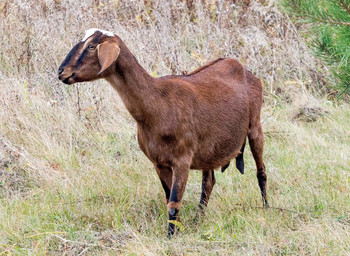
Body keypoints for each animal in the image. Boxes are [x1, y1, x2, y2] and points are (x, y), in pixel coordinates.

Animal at [58, 28, 268, 238]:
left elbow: (174, 202)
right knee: (208, 182)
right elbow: (169, 198)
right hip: (209, 150)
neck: (158, 104)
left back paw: (266, 207)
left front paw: (170, 236)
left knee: (261, 171)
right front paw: (177, 230)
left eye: (91, 46)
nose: (61, 72)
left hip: (255, 126)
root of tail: (243, 69)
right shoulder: (159, 162)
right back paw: (198, 218)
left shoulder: (182, 160)